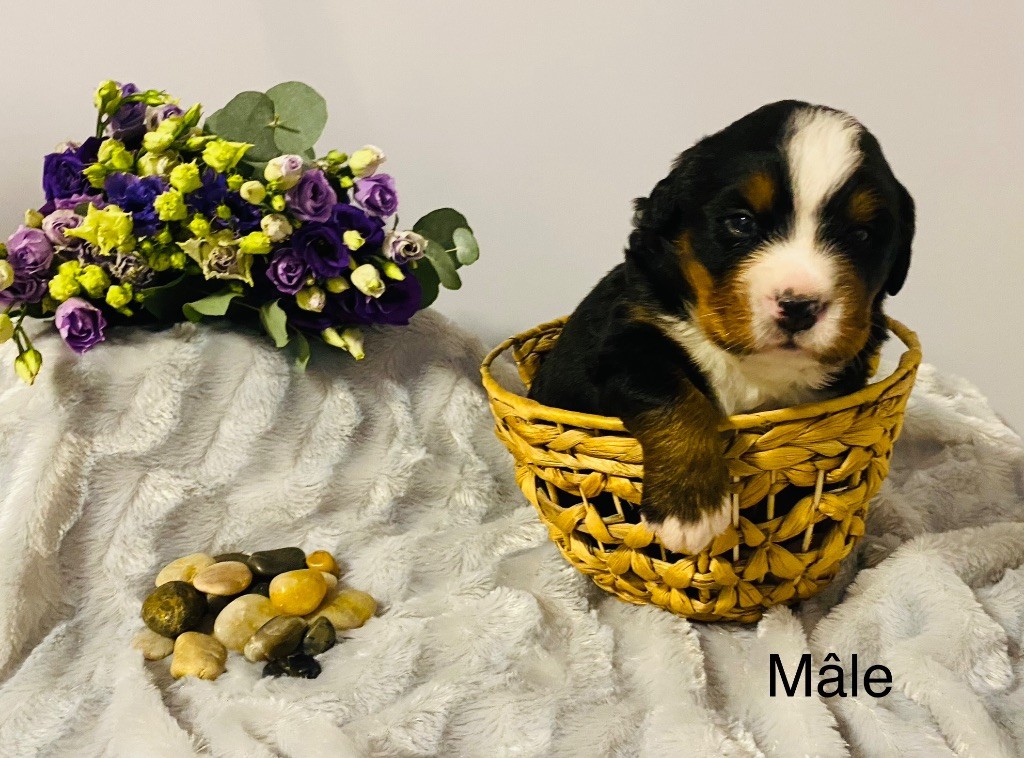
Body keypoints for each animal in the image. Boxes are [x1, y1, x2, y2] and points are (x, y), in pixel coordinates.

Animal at [528, 100, 915, 555]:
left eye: (860, 234)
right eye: (741, 222)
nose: (798, 305)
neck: (751, 365)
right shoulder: (629, 340)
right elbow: (674, 396)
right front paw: (690, 509)